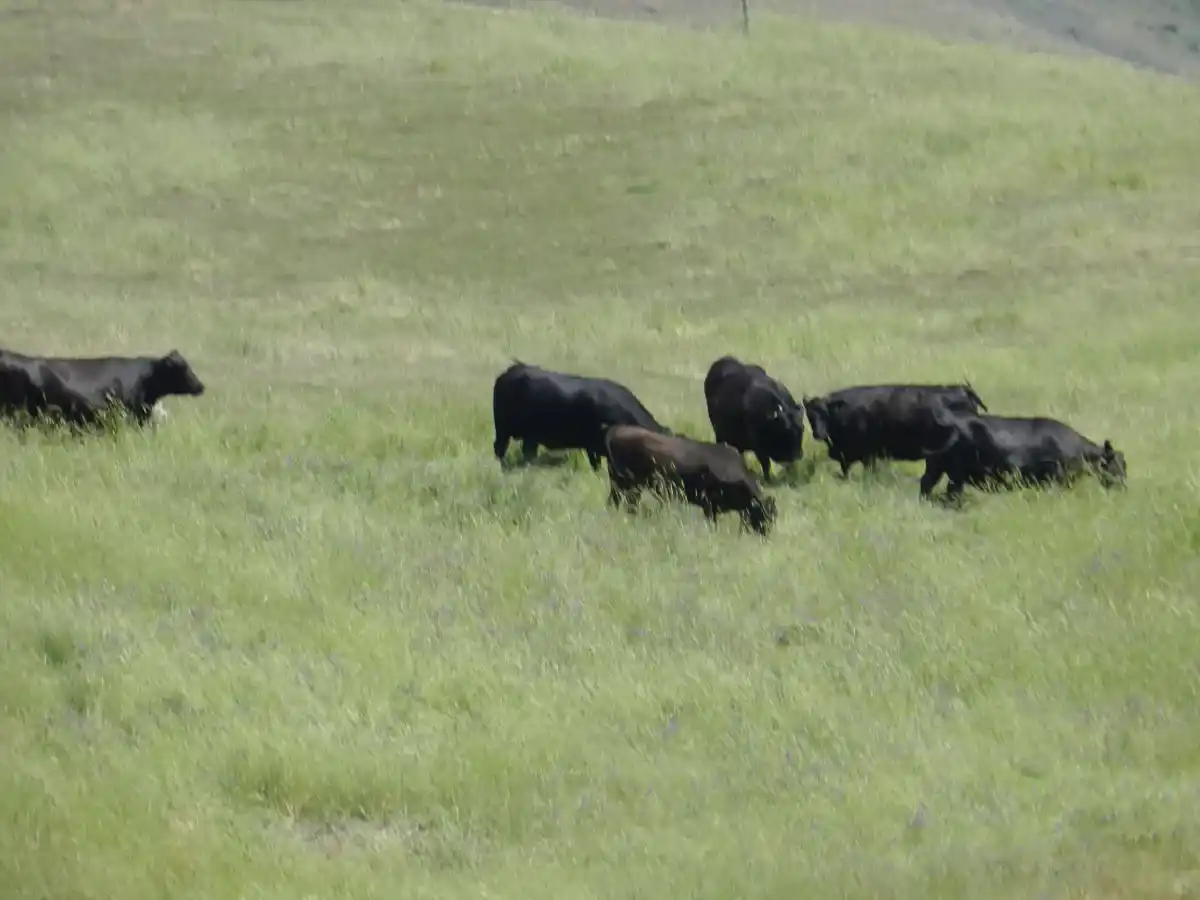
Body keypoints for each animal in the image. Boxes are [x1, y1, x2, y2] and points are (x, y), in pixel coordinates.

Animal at [603, 424, 778, 535]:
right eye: (763, 515)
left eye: (774, 515)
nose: (766, 534)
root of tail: (617, 430)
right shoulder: (710, 506)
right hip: (627, 484)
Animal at [918, 412, 1127, 502]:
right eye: (1115, 465)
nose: (1123, 488)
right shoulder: (1057, 479)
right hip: (955, 473)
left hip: (936, 468)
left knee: (926, 484)